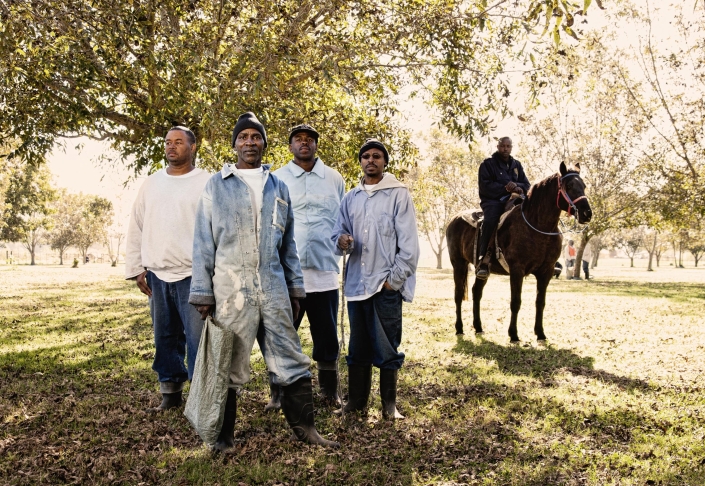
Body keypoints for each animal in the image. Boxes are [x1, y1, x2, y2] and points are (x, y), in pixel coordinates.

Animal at [448, 163, 592, 342]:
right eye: (570, 186)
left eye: (584, 186)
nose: (587, 213)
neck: (537, 226)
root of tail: (454, 220)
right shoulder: (517, 270)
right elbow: (516, 302)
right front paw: (514, 334)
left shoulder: (546, 271)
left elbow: (540, 302)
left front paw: (540, 333)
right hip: (458, 264)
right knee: (458, 294)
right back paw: (459, 328)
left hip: (482, 270)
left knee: (476, 292)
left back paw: (479, 327)